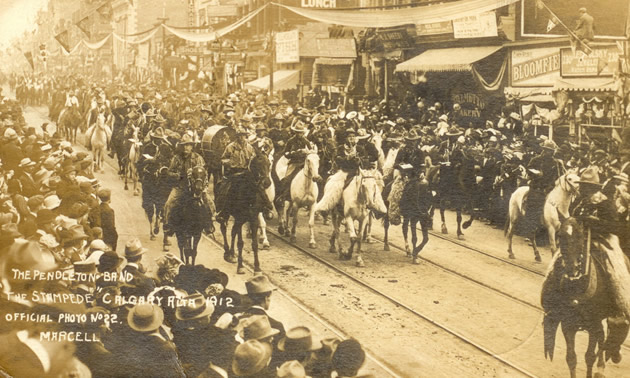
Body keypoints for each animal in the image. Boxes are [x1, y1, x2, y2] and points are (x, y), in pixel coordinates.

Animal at [544, 217, 630, 378]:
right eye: (560, 235)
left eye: (580, 236)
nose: (572, 270)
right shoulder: (568, 325)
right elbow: (571, 358)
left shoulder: (593, 325)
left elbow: (589, 356)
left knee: (609, 332)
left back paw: (608, 361)